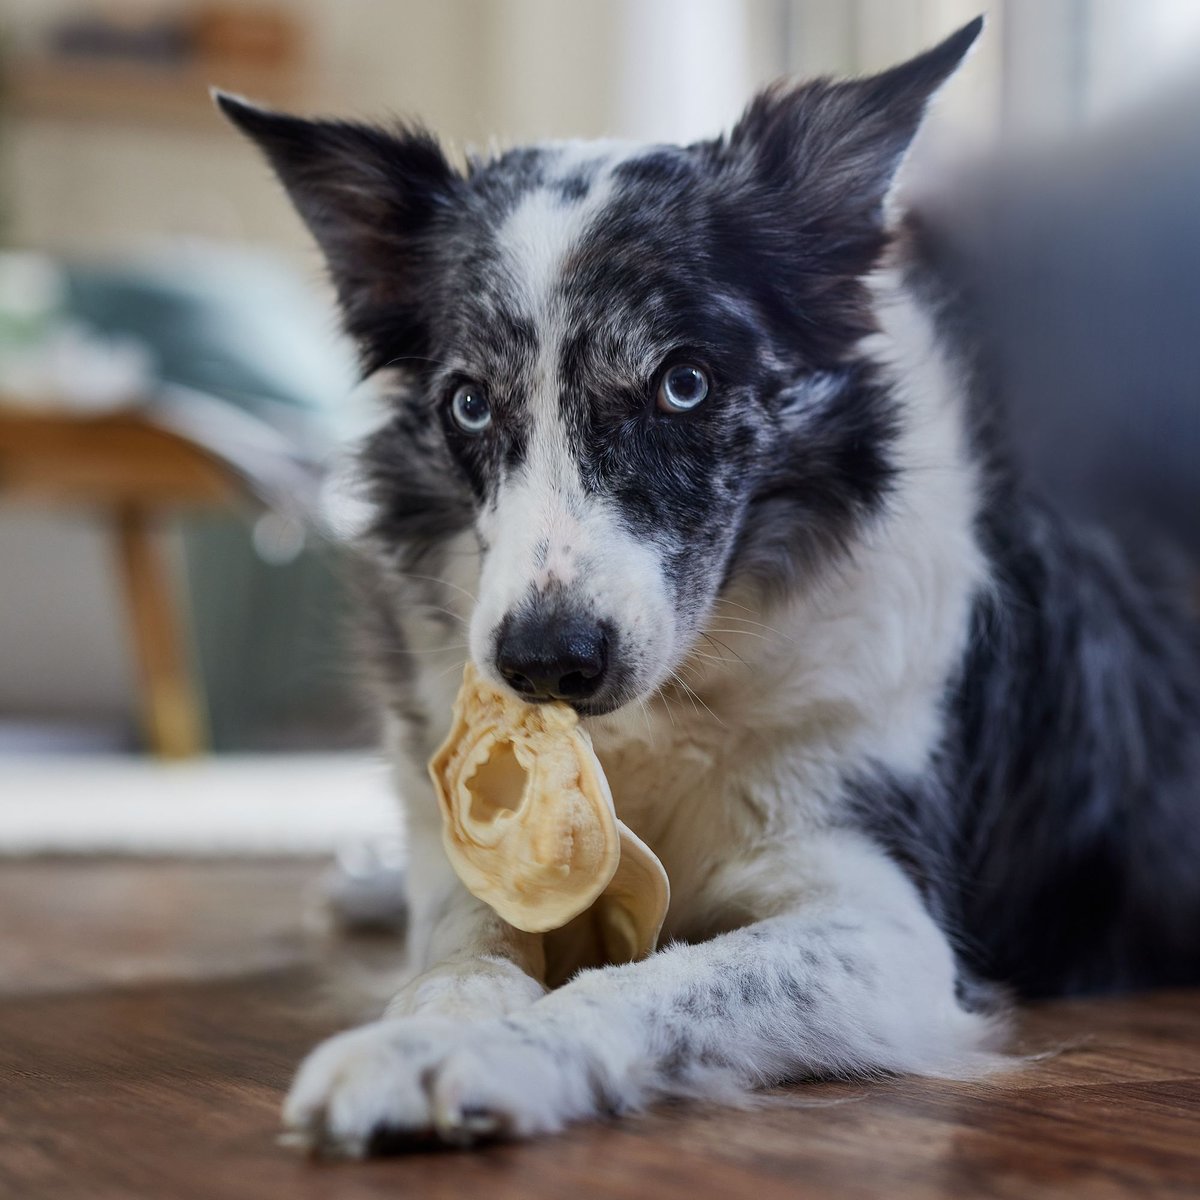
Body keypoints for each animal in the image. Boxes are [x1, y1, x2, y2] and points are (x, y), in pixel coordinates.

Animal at [216, 18, 1200, 1156]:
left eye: (683, 383)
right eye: (467, 402)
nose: (546, 663)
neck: (667, 710)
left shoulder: (886, 929)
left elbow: (659, 984)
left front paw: (478, 1056)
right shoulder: (492, 847)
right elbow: (467, 936)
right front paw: (429, 1021)